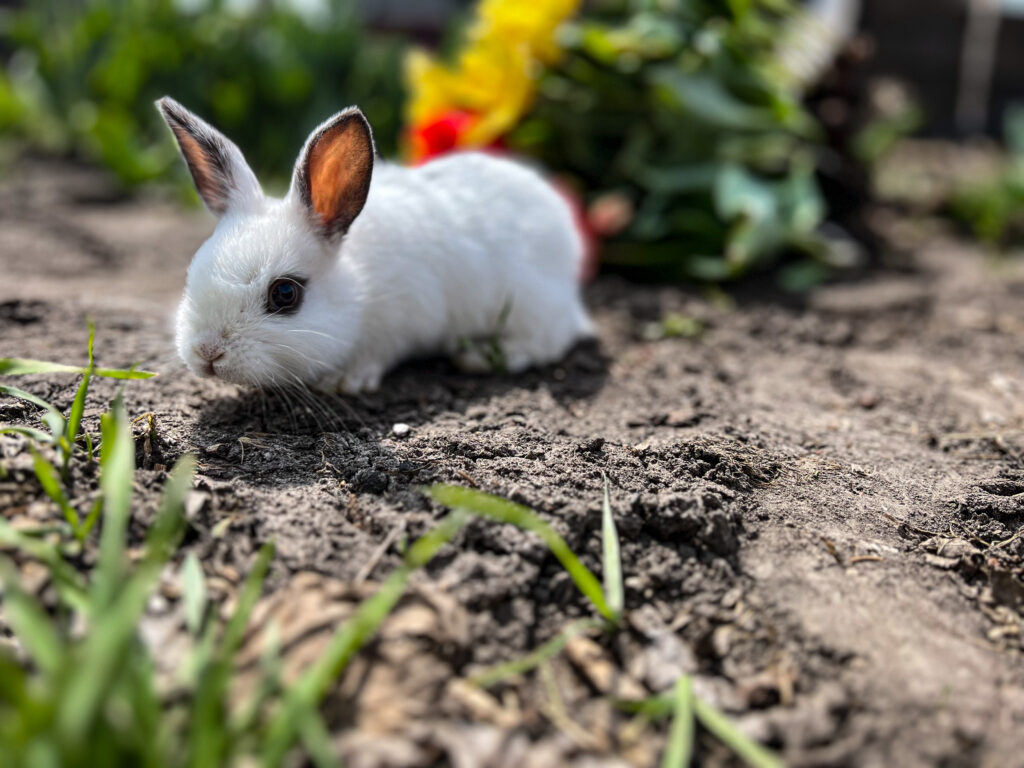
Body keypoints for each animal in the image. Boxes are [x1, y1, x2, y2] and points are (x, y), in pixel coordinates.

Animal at [156, 96, 598, 393]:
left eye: (284, 294)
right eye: (192, 272)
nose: (207, 352)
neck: (359, 288)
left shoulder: (401, 322)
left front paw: (344, 381)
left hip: (531, 304)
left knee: (553, 337)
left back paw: (480, 356)